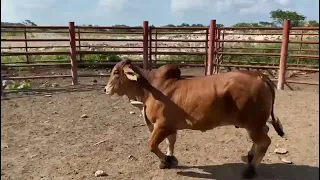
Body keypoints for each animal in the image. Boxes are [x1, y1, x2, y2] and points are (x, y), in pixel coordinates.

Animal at [105, 59, 284, 179]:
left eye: (116, 72)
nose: (106, 89)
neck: (149, 89)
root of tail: (259, 75)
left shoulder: (161, 125)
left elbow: (152, 145)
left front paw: (166, 161)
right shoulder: (170, 126)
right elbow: (171, 142)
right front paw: (170, 159)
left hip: (252, 124)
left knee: (265, 142)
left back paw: (250, 170)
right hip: (256, 124)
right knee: (265, 133)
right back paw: (250, 156)